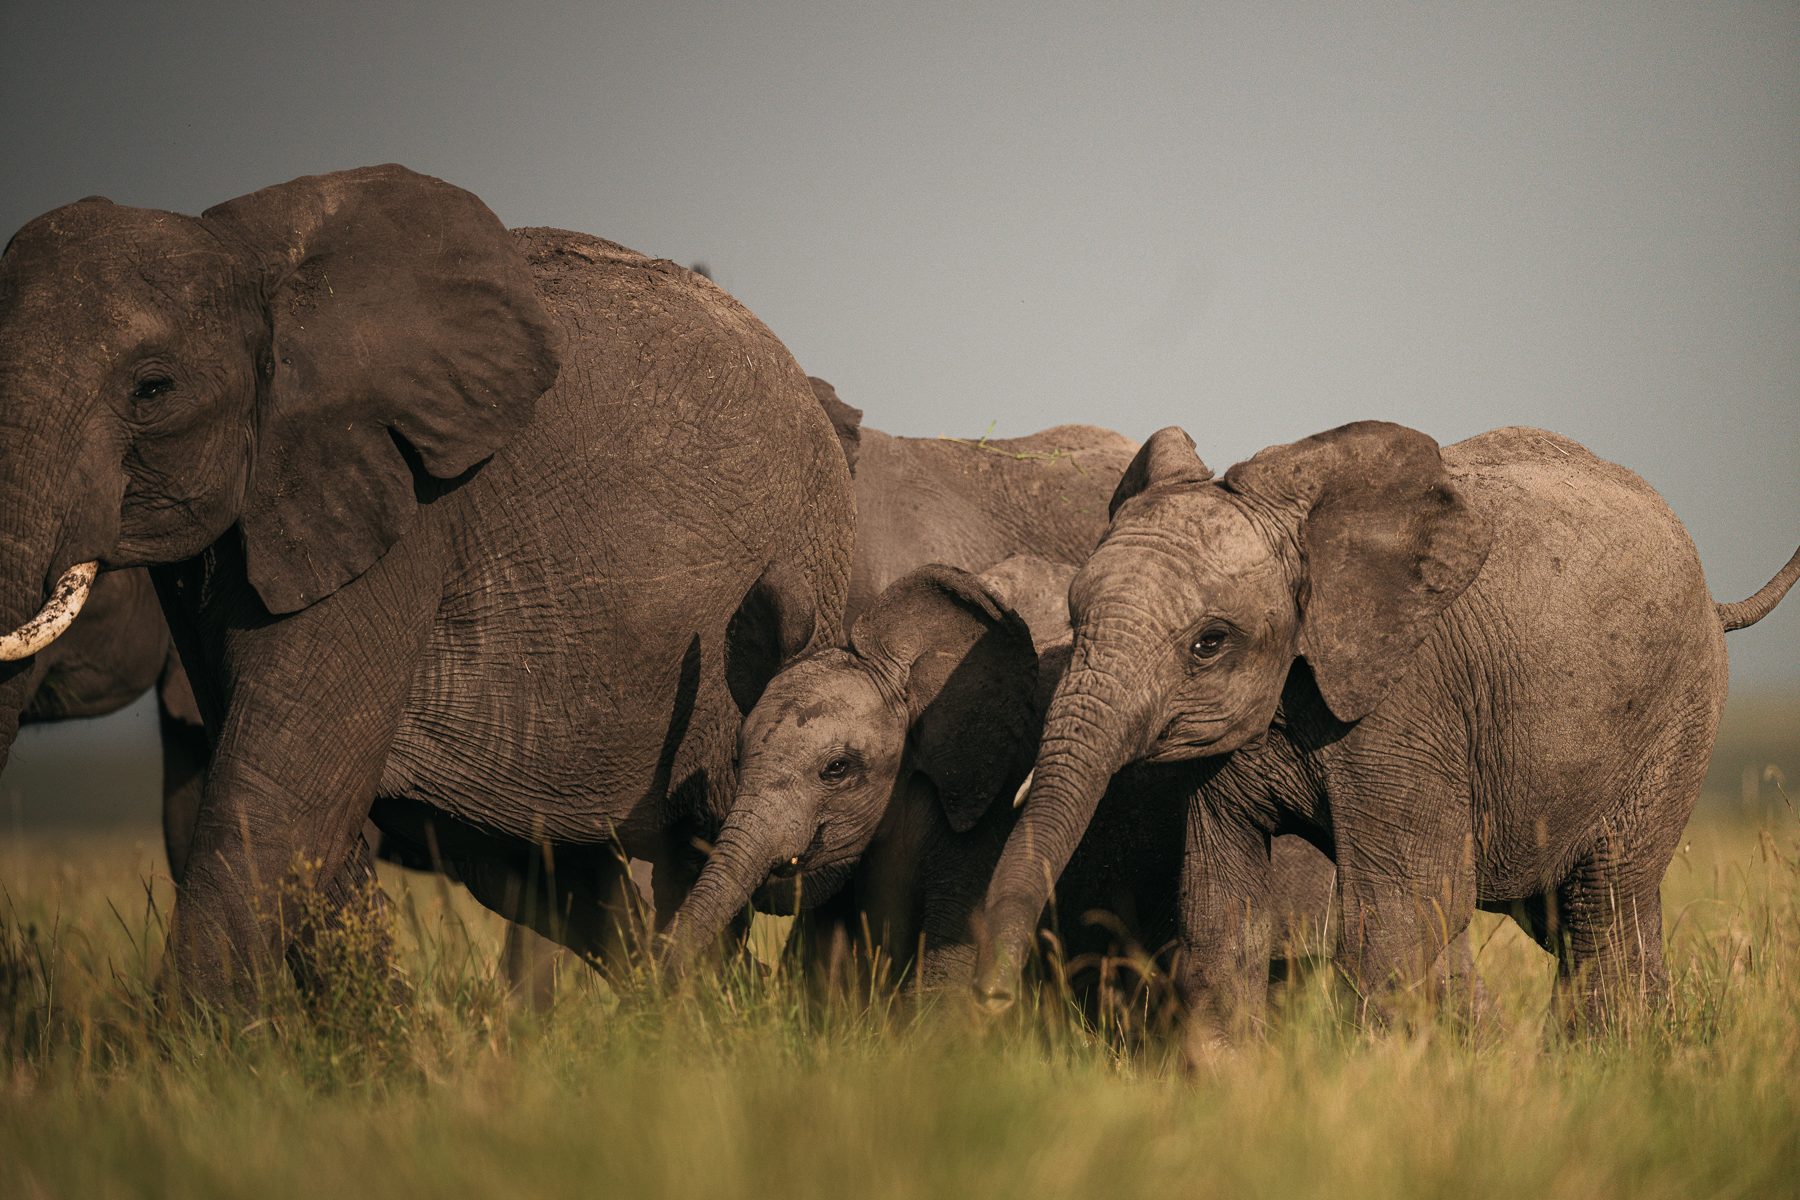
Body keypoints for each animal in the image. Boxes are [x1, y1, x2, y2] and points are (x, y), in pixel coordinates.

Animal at [975, 422, 1799, 1041]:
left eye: (1209, 643)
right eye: (1075, 617)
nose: (992, 999)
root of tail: (1716, 600)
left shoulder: (1408, 701)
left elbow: (1401, 907)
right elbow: (1220, 909)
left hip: (1679, 712)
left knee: (1604, 903)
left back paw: (1604, 1067)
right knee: (1580, 913)